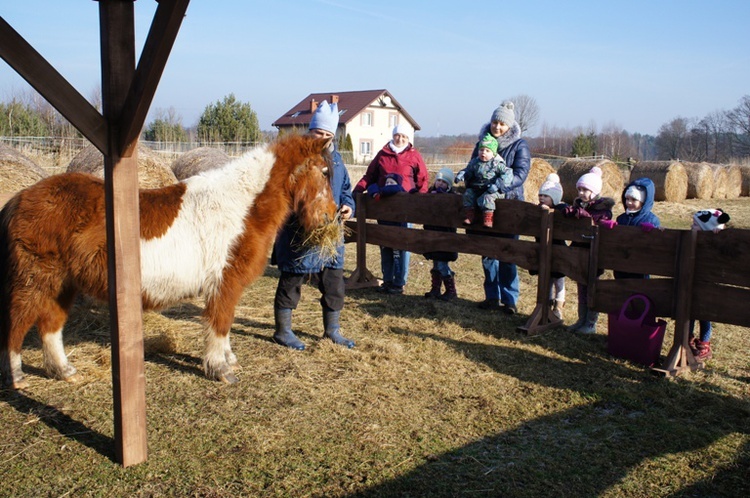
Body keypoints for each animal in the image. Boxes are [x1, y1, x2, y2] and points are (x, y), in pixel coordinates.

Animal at [0, 133, 340, 390]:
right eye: (324, 172)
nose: (331, 216)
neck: (238, 206)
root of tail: (19, 198)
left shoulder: (225, 287)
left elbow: (225, 325)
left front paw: (228, 359)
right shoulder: (224, 283)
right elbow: (219, 324)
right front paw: (220, 369)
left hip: (62, 285)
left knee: (50, 325)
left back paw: (64, 371)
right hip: (34, 282)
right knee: (16, 323)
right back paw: (16, 377)